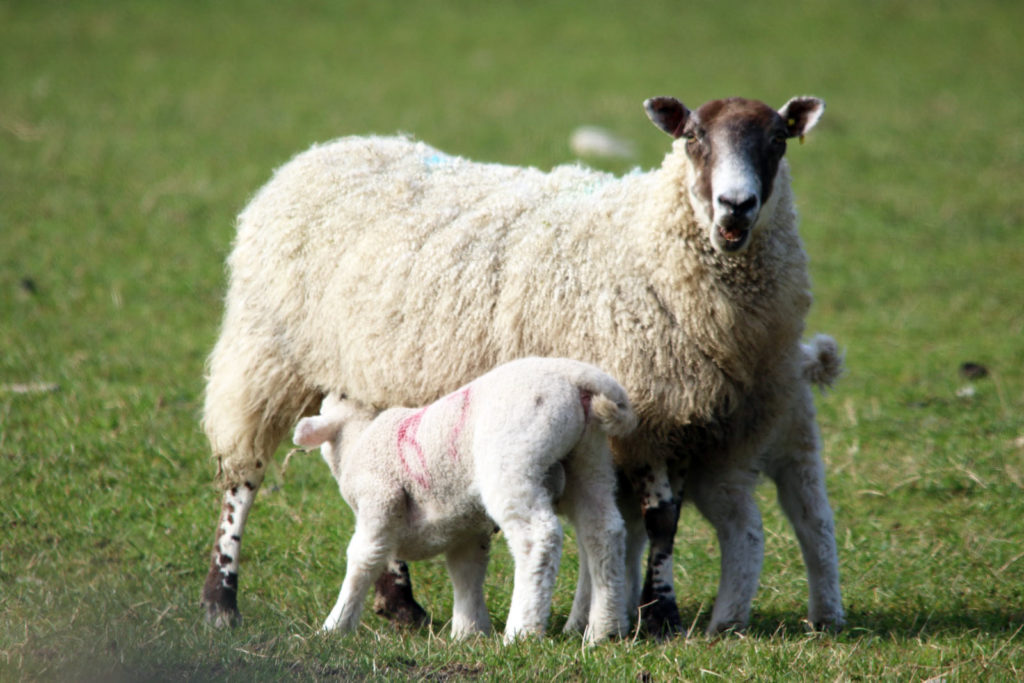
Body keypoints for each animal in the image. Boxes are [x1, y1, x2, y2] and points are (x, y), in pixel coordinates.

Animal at [292, 358, 634, 647]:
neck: (360, 438)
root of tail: (575, 375)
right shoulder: (464, 529)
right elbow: (466, 572)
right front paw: (468, 633)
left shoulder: (379, 501)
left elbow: (363, 561)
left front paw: (334, 627)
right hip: (590, 457)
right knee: (603, 531)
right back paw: (605, 629)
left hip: (513, 459)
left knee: (538, 538)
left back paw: (522, 631)